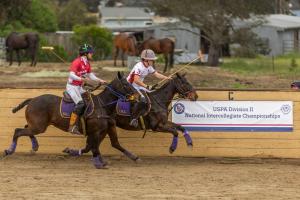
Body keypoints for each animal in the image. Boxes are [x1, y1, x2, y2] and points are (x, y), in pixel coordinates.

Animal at [3, 72, 142, 169]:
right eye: (126, 84)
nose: (139, 96)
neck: (103, 105)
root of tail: (32, 99)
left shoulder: (104, 130)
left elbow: (107, 145)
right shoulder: (95, 132)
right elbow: (94, 147)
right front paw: (98, 163)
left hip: (37, 125)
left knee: (26, 128)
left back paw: (34, 146)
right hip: (39, 126)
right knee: (18, 131)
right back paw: (9, 150)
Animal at [64, 72, 198, 157]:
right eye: (185, 83)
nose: (196, 96)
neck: (159, 100)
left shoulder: (164, 122)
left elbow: (181, 127)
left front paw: (190, 143)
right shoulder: (157, 126)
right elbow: (175, 131)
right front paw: (172, 149)